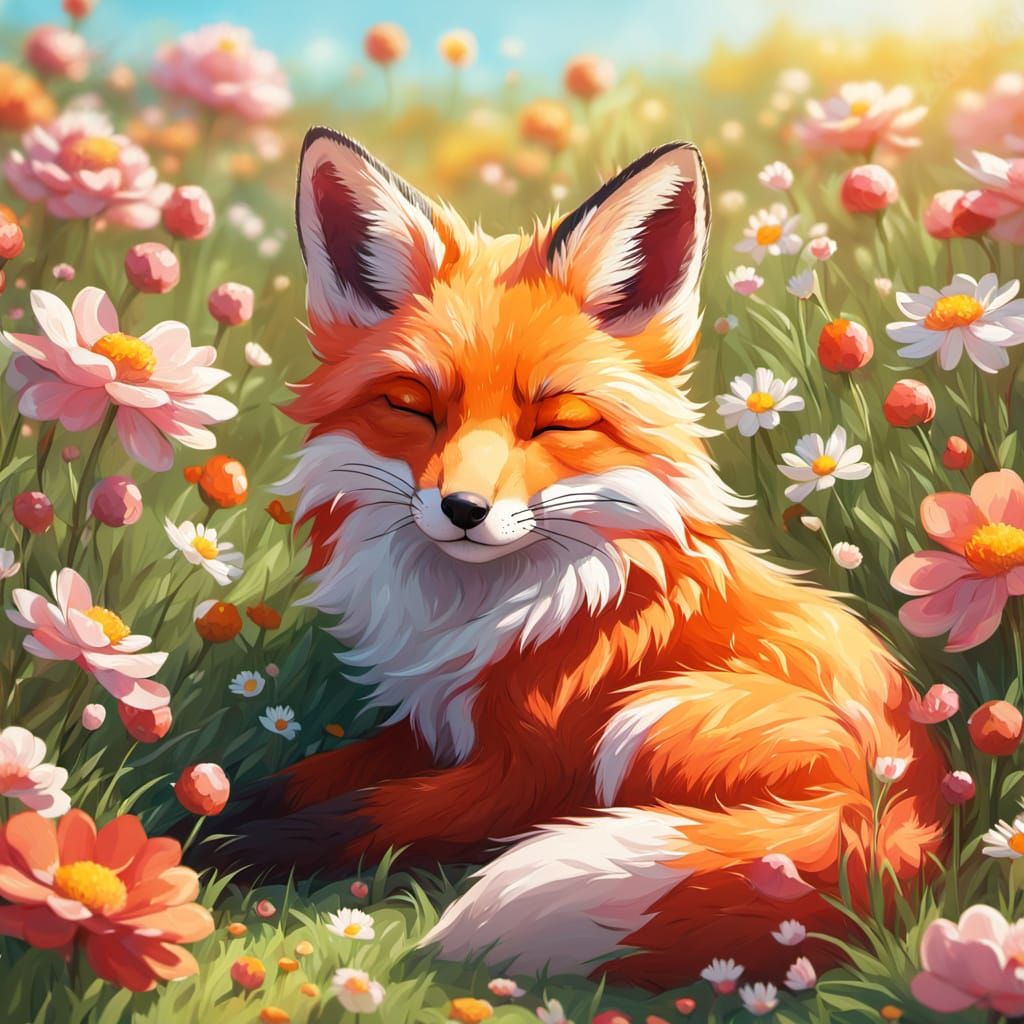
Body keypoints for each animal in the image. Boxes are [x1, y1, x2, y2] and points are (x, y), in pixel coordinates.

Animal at [205, 126, 949, 988]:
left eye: (556, 421)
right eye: (412, 407)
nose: (463, 511)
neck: (485, 610)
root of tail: (902, 811)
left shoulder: (528, 773)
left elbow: (355, 817)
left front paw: (223, 853)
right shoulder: (438, 723)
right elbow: (297, 782)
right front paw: (201, 808)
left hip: (644, 718)